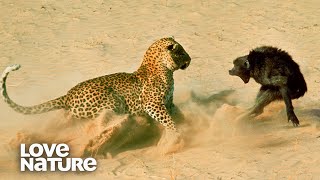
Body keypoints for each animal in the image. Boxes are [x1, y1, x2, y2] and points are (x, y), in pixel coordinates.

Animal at [0, 36, 190, 134]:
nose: (190, 60)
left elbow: (176, 114)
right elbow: (167, 120)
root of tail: (67, 95)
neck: (165, 70)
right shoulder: (152, 104)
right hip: (112, 102)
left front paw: (185, 124)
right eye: (181, 52)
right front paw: (177, 134)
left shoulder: (168, 102)